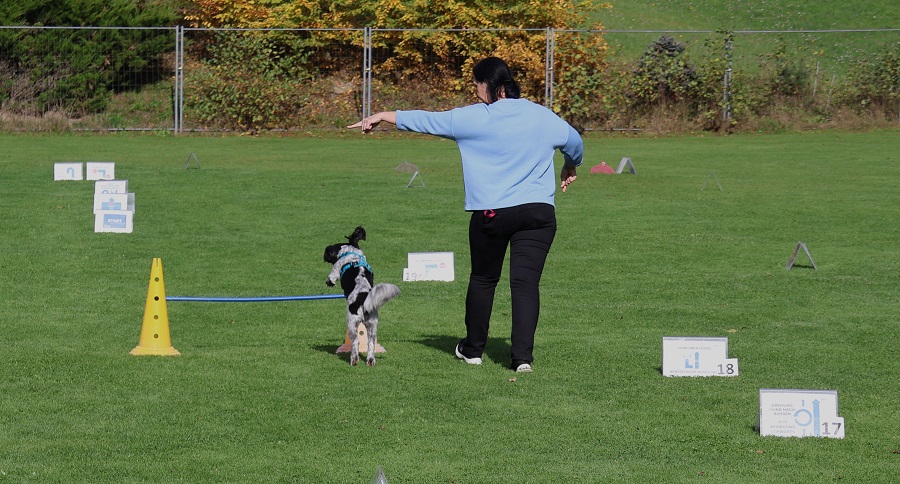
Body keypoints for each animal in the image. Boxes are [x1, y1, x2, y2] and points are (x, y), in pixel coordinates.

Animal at [326, 227, 400, 366]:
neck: (352, 254)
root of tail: (364, 300)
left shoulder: (337, 267)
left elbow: (333, 274)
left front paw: (330, 281)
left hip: (352, 322)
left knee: (356, 342)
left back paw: (354, 360)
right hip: (372, 325)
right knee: (371, 344)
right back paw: (370, 361)